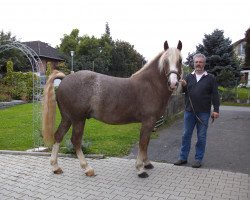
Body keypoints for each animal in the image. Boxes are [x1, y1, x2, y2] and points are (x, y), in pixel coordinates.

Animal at [41, 39, 182, 177]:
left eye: (180, 60)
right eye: (165, 61)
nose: (173, 83)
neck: (150, 85)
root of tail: (64, 79)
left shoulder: (150, 123)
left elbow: (146, 143)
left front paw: (147, 163)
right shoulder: (148, 121)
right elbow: (143, 143)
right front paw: (140, 169)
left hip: (67, 118)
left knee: (58, 136)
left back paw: (56, 167)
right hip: (78, 119)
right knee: (75, 140)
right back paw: (87, 168)